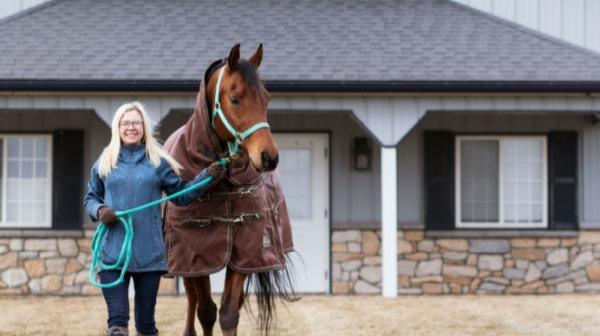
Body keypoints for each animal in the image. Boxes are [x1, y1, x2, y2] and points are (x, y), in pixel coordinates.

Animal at [163, 44, 296, 336]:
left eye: (267, 98)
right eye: (235, 99)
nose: (269, 157)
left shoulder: (244, 255)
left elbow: (228, 314)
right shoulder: (195, 259)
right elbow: (206, 312)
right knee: (192, 301)